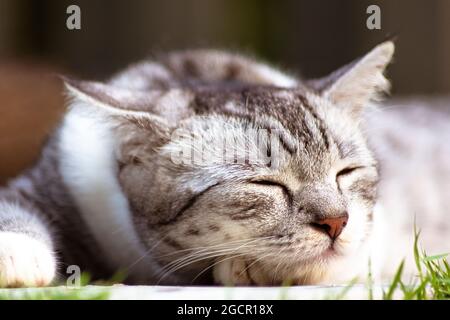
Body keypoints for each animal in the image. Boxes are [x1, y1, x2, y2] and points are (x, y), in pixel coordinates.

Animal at [0, 40, 428, 288]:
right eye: (264, 184)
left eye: (346, 173)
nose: (338, 222)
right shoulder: (51, 177)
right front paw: (16, 253)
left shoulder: (380, 233)